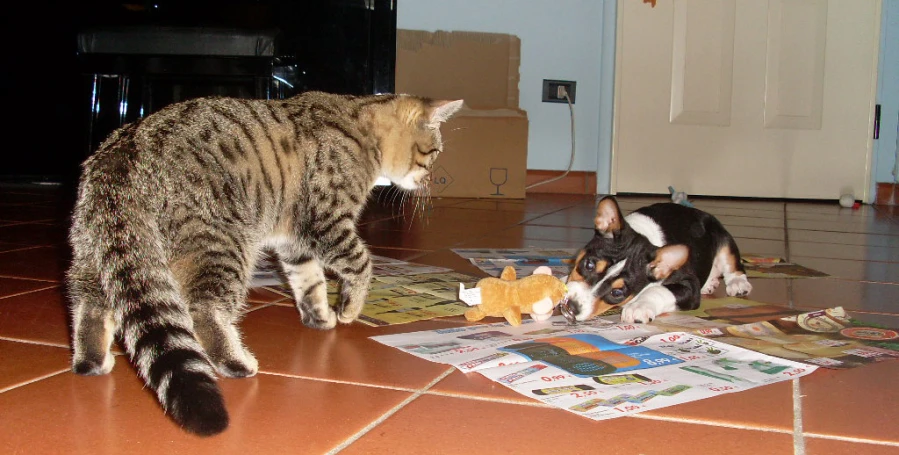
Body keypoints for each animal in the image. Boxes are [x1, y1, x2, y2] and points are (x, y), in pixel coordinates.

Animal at [67, 91, 464, 436]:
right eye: (434, 152)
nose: (432, 179)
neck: (360, 126)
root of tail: (125, 151)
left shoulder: (294, 241)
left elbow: (309, 282)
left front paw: (320, 316)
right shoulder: (326, 222)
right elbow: (361, 263)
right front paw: (349, 309)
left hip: (100, 252)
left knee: (92, 307)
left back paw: (91, 361)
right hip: (223, 245)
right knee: (204, 311)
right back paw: (236, 362)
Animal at [568, 198, 752, 326]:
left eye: (617, 293)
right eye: (589, 265)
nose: (571, 306)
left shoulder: (689, 286)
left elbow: (658, 290)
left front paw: (638, 307)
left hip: (723, 237)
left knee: (733, 264)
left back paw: (738, 283)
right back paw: (710, 283)